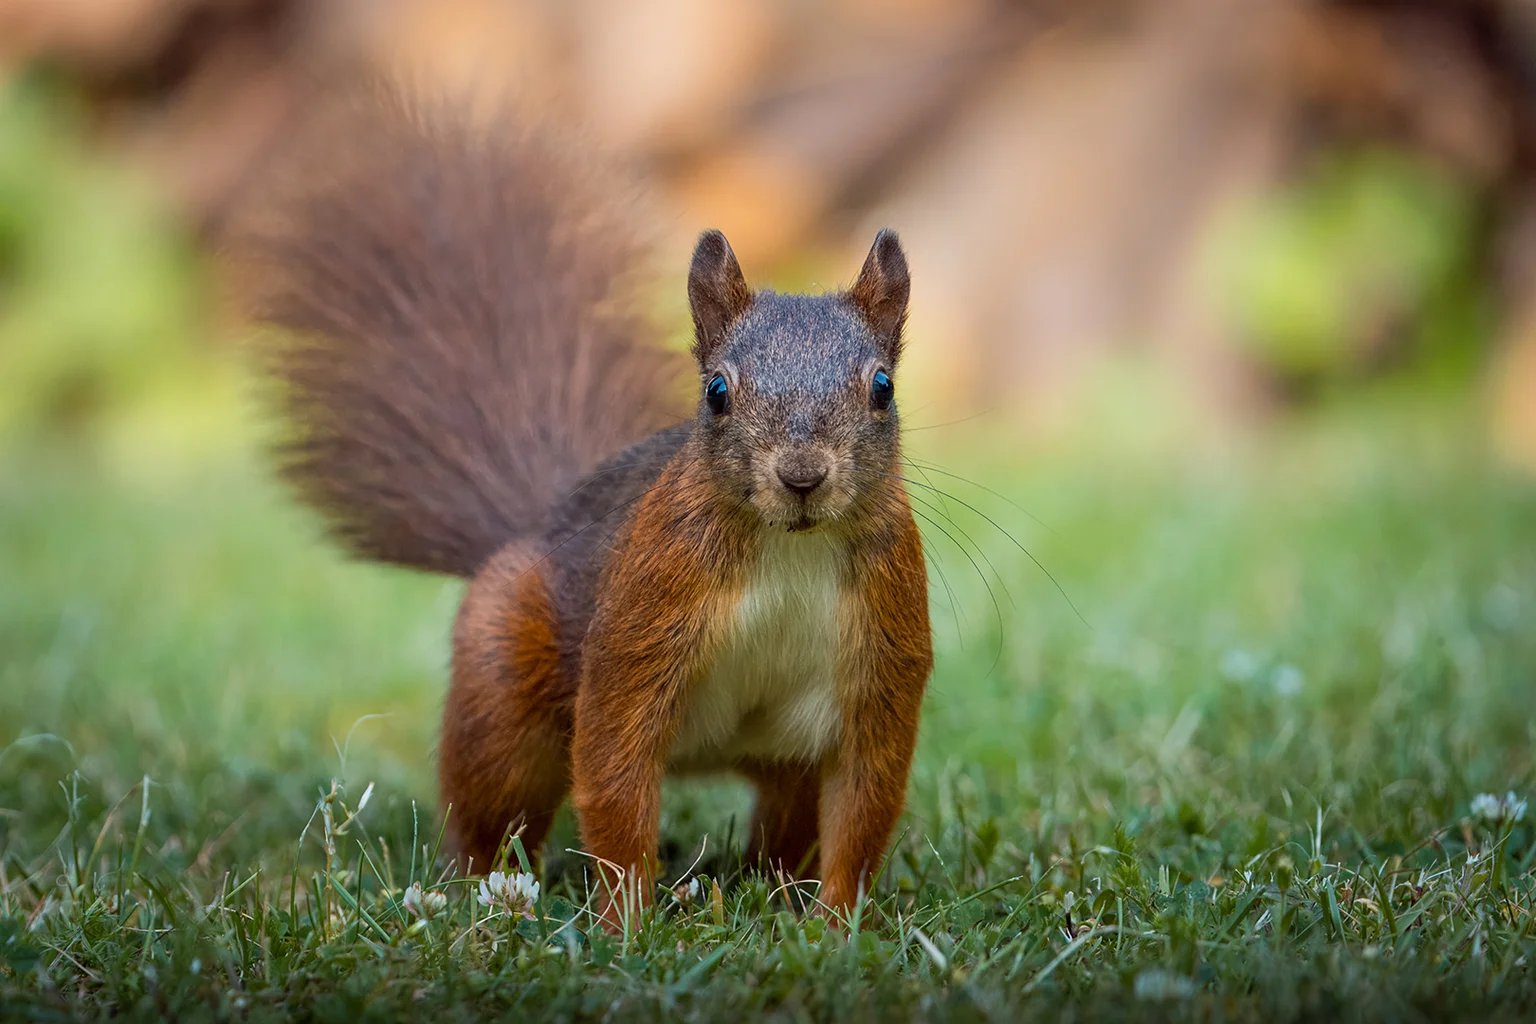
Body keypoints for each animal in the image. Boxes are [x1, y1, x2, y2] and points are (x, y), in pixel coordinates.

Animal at [236, 88, 933, 926]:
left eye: (883, 388)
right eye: (717, 392)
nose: (802, 477)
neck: (789, 549)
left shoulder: (884, 655)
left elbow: (865, 802)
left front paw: (837, 926)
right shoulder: (642, 622)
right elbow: (614, 769)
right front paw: (626, 923)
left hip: (787, 757)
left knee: (787, 822)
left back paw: (777, 895)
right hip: (502, 688)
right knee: (491, 804)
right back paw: (482, 894)